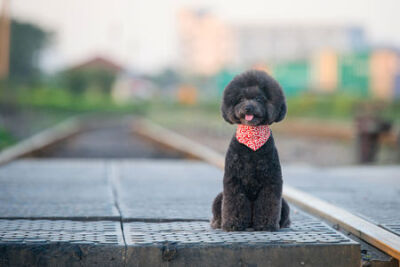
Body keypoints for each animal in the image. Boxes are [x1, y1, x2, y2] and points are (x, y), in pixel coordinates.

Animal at [211, 70, 290, 231]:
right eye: (241, 98)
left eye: (259, 99)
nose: (248, 108)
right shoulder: (234, 180)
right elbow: (234, 203)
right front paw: (233, 224)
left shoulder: (271, 180)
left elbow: (268, 203)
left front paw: (266, 224)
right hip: (219, 197)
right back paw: (218, 223)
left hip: (284, 203)